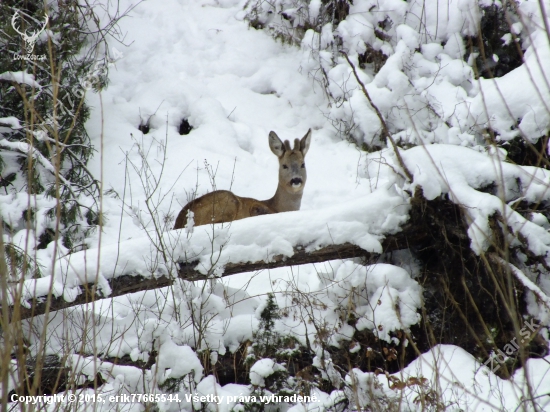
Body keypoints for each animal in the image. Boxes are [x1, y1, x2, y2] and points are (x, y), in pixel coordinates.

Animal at [175, 130, 312, 229]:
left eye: (303, 164)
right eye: (284, 165)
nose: (296, 180)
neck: (278, 207)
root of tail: (179, 224)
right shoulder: (257, 207)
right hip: (227, 202)